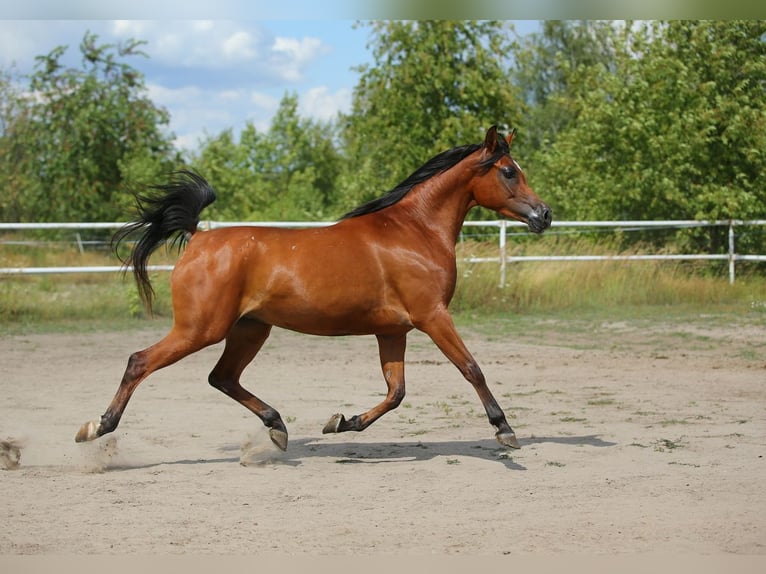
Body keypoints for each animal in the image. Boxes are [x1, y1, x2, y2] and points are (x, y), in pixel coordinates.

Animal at [75, 126, 552, 454]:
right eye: (509, 172)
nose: (544, 215)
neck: (413, 231)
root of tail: (198, 237)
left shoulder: (392, 330)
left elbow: (396, 393)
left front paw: (340, 421)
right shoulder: (432, 316)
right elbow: (471, 368)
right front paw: (505, 430)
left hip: (249, 329)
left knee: (222, 377)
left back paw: (278, 428)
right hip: (200, 329)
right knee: (140, 362)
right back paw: (96, 427)